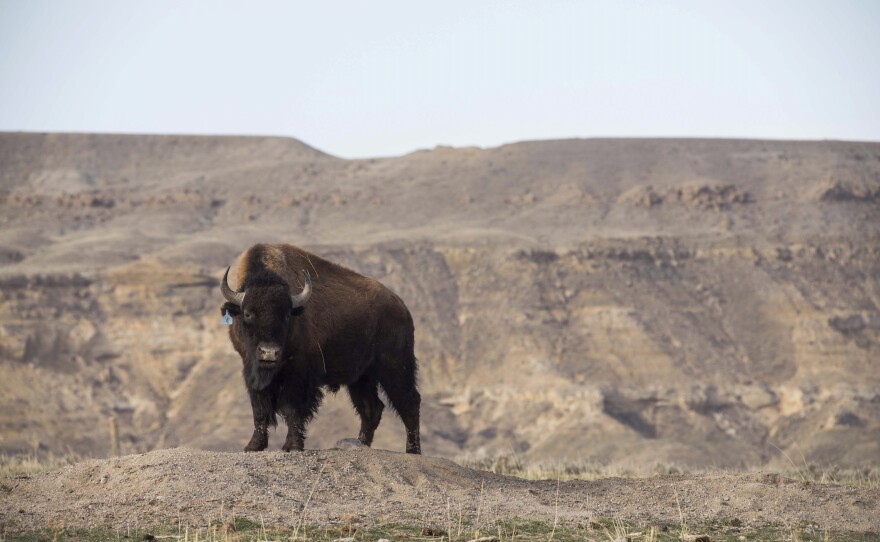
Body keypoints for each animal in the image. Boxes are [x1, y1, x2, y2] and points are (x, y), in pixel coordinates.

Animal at [220, 243, 421, 454]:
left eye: (286, 315)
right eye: (248, 313)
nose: (269, 352)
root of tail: (402, 307)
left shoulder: (298, 374)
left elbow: (292, 409)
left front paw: (292, 445)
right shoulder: (251, 370)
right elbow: (259, 409)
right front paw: (253, 445)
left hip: (395, 367)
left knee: (409, 403)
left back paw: (413, 451)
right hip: (361, 377)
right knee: (372, 409)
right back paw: (361, 444)